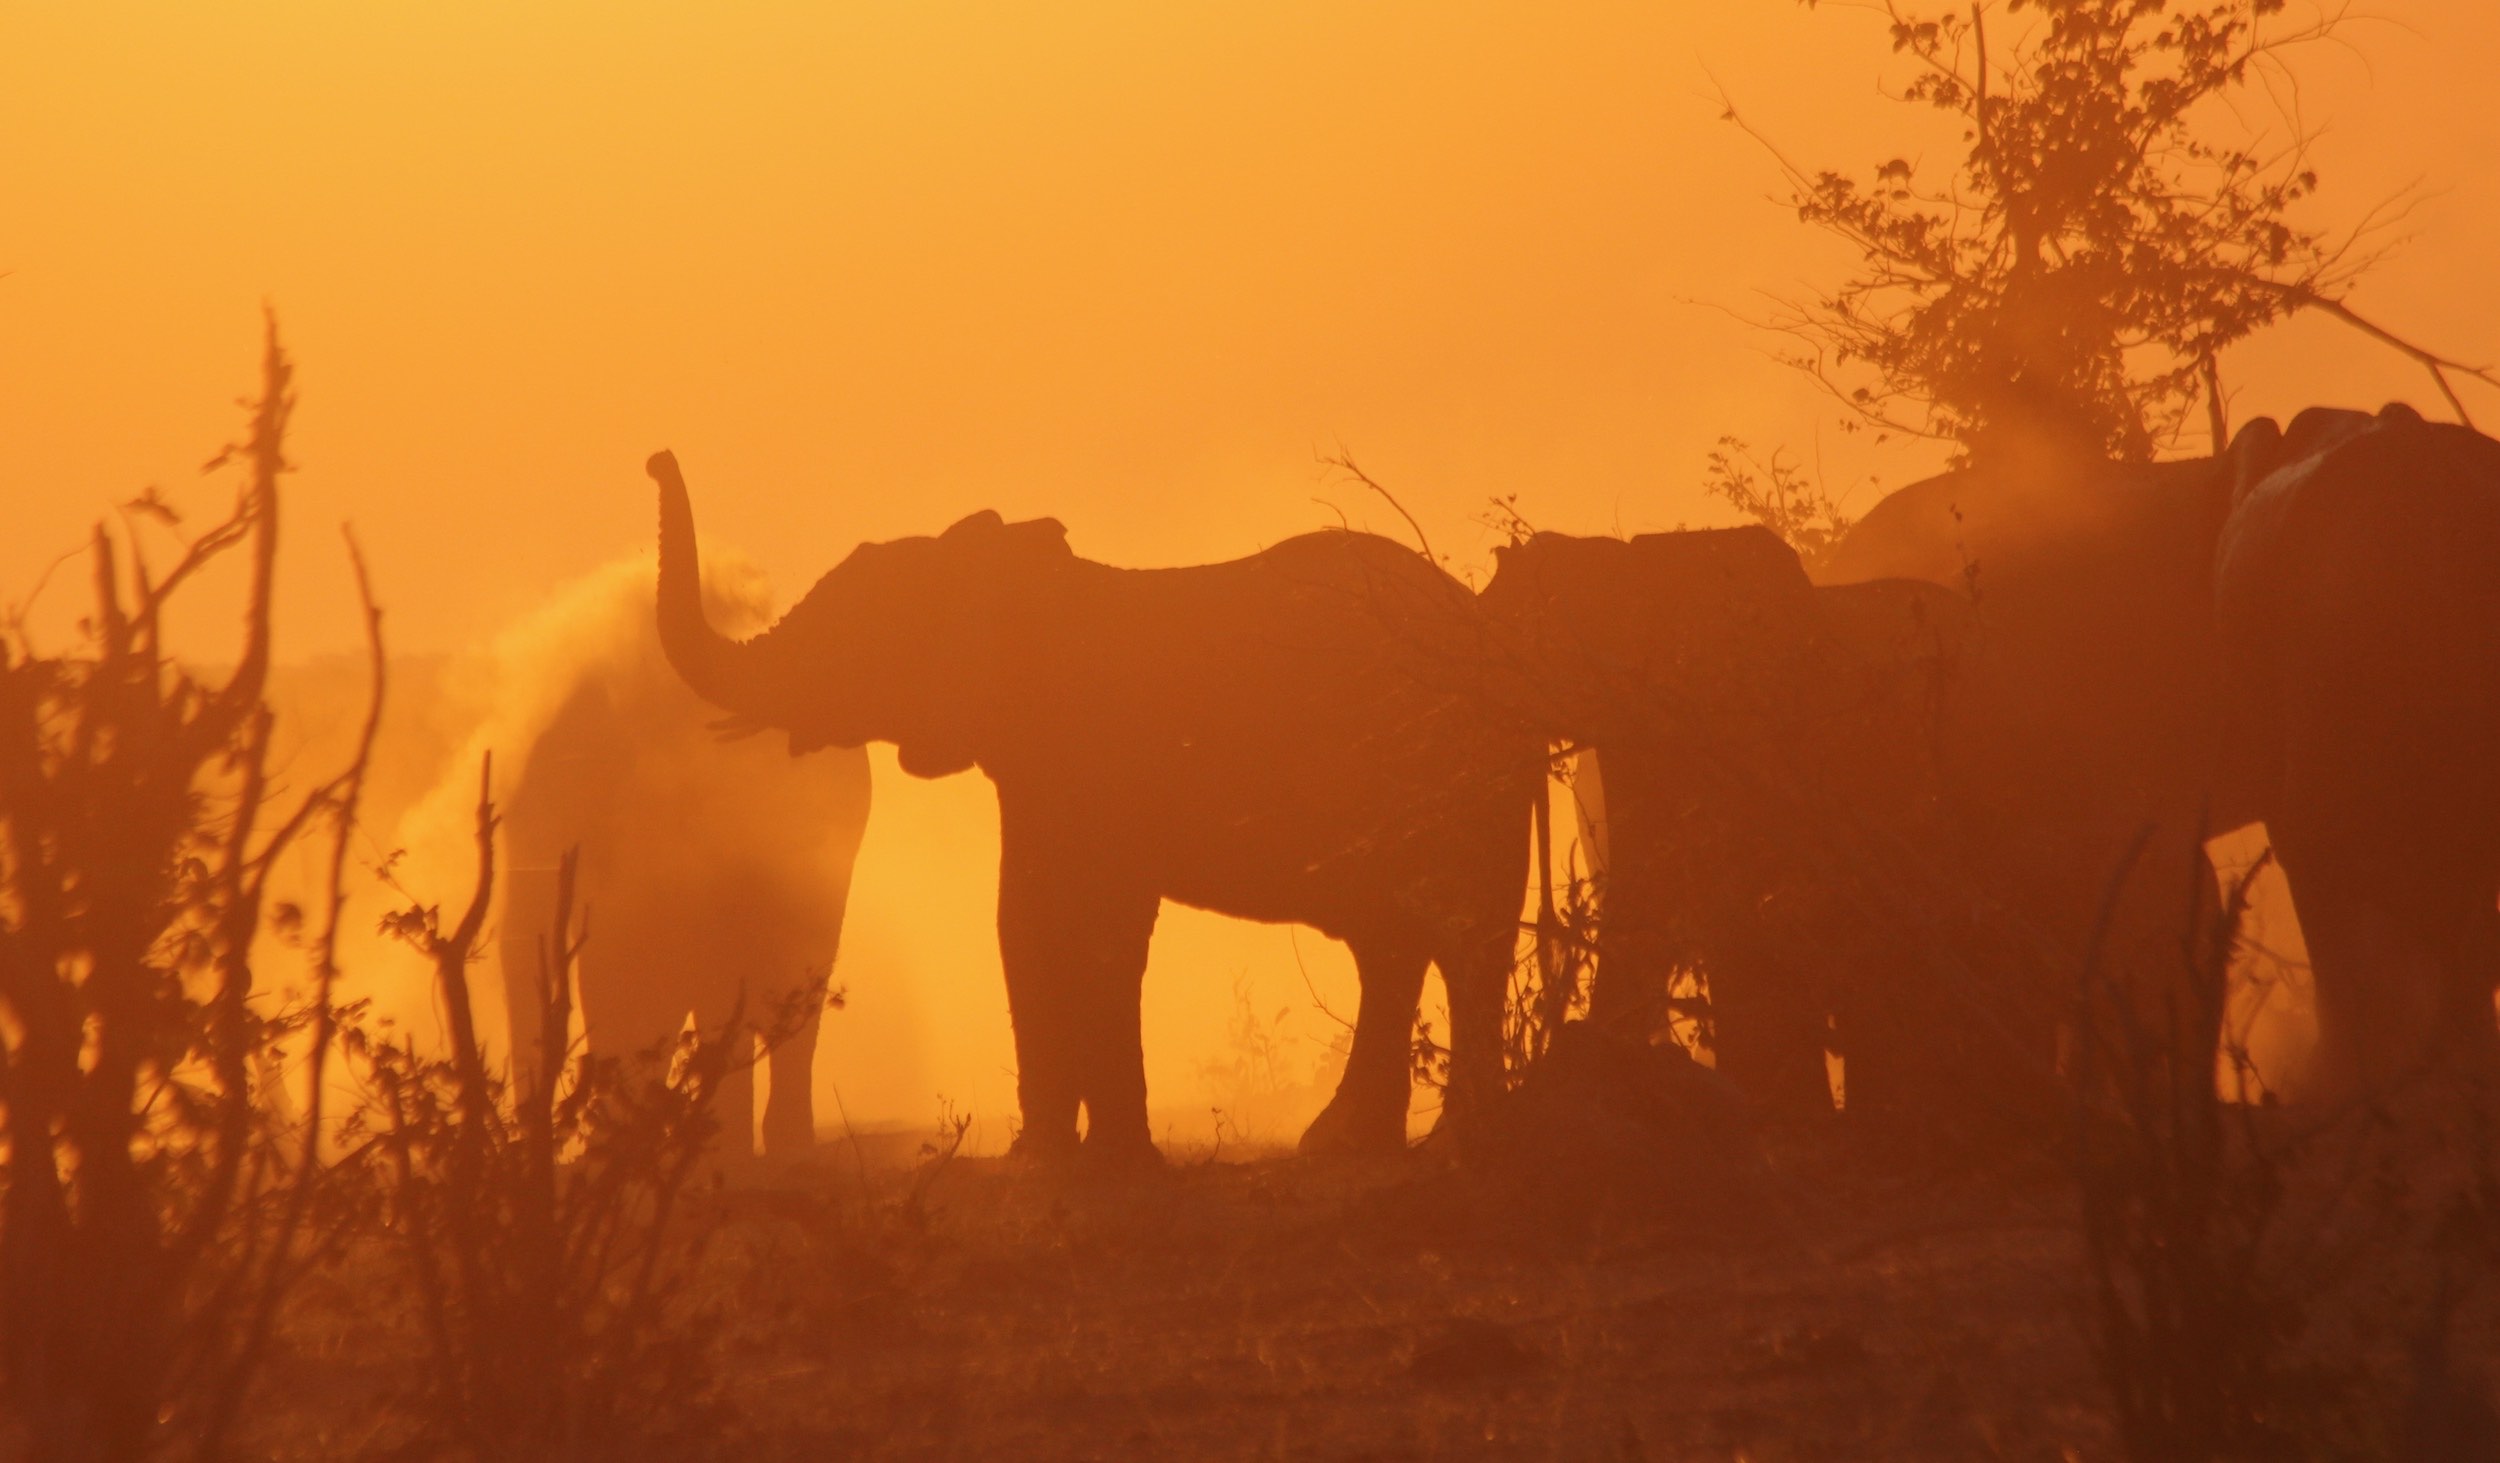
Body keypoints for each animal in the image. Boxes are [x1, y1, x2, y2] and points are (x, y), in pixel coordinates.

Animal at [639, 451, 1542, 1163]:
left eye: (849, 635)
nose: (655, 458)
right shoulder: (1038, 771)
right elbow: (1021, 917)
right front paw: (1043, 1157)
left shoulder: (1099, 760)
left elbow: (1101, 923)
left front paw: (1111, 1161)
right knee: (1392, 945)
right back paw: (1347, 1144)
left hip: (1463, 770)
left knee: (1462, 938)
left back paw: (1459, 1144)